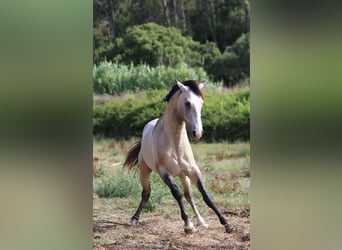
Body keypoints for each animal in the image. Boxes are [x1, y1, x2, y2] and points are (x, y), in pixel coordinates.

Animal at [122, 80, 230, 234]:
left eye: (201, 103)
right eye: (187, 103)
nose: (198, 133)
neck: (175, 144)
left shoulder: (193, 170)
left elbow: (205, 195)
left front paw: (226, 223)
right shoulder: (164, 173)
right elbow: (177, 193)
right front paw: (188, 225)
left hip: (183, 175)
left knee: (189, 195)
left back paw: (201, 221)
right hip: (145, 171)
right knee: (146, 193)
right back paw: (134, 219)